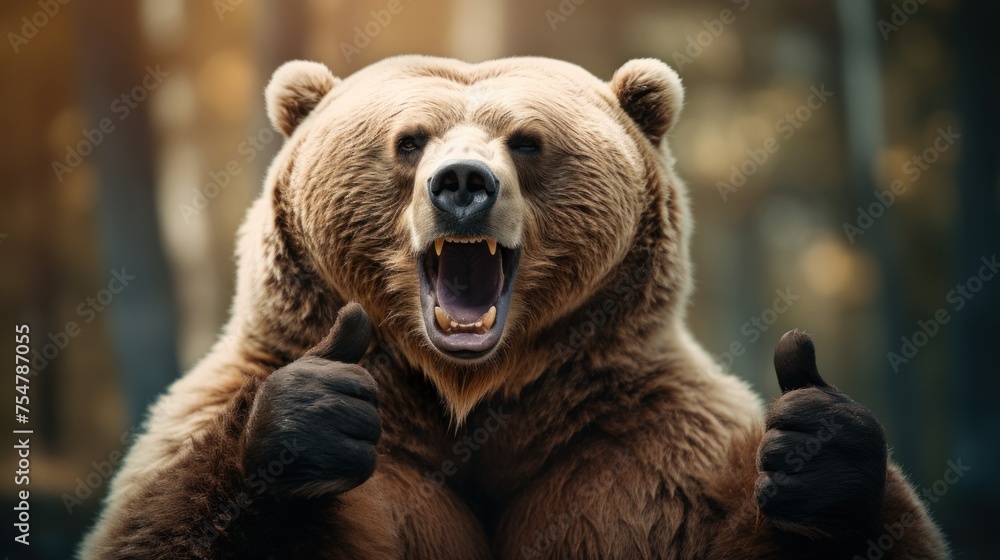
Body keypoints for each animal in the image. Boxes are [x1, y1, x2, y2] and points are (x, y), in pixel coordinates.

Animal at [80, 56, 949, 559]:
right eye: (409, 139)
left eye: (527, 140)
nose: (463, 183)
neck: (470, 402)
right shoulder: (231, 416)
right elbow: (166, 524)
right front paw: (311, 418)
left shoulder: (654, 455)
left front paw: (820, 449)